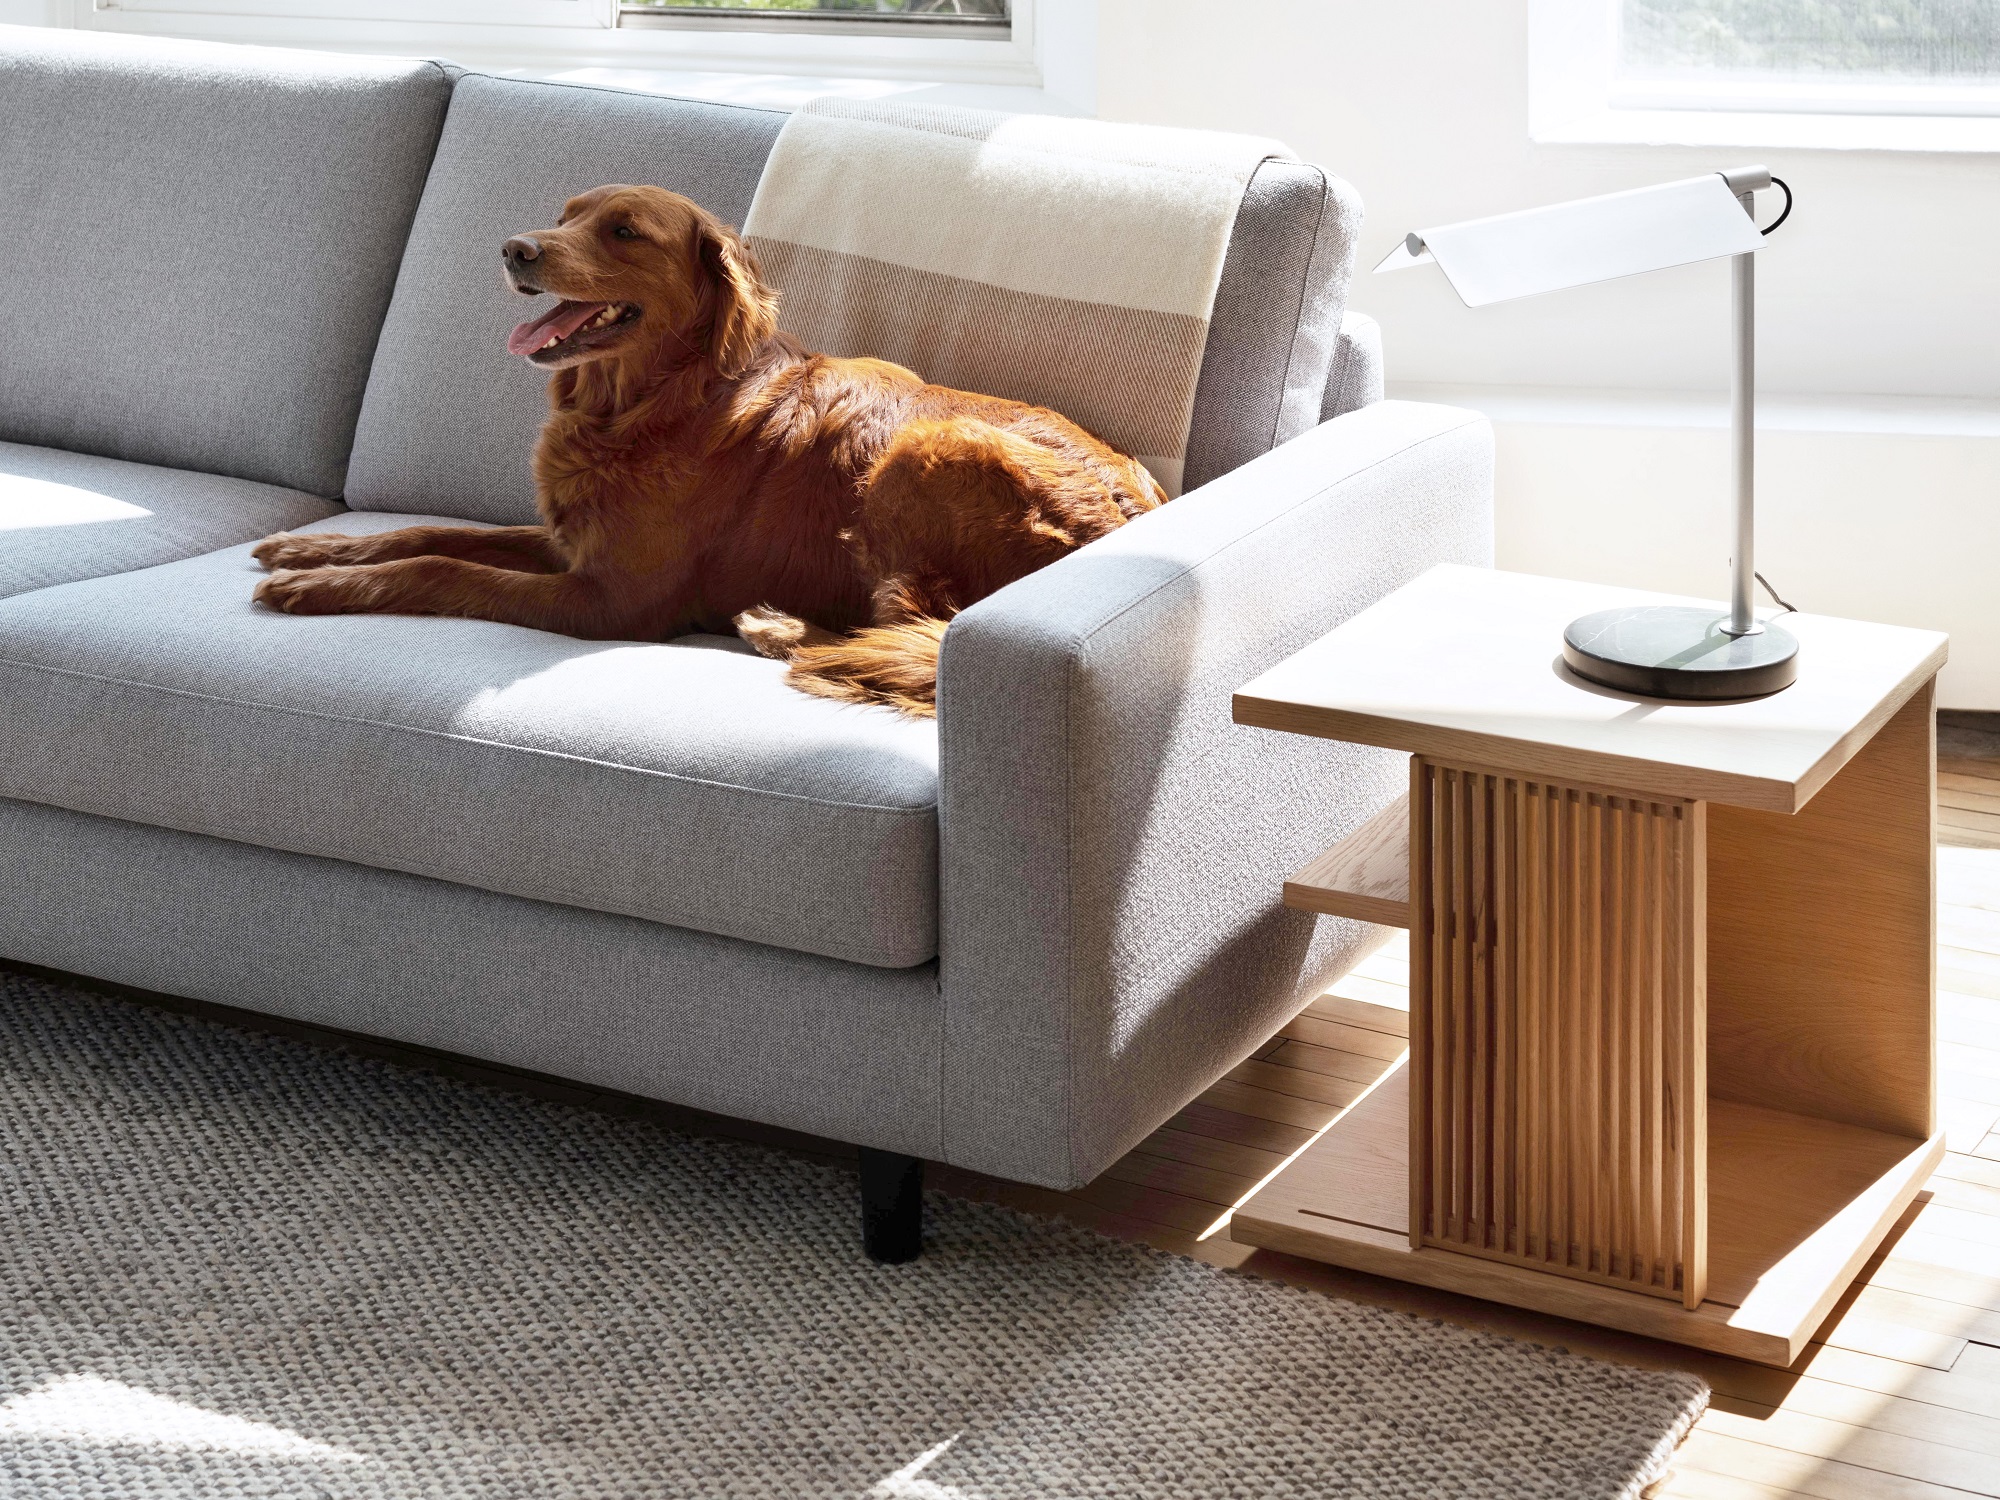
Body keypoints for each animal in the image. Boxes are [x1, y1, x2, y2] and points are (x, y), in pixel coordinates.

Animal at [252, 187, 1168, 716]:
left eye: (624, 231)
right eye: (566, 214)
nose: (515, 248)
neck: (650, 403)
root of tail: (1141, 505)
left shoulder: (612, 600)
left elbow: (447, 569)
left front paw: (317, 588)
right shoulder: (572, 540)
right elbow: (432, 534)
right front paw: (312, 549)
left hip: (927, 448)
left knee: (916, 630)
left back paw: (780, 628)